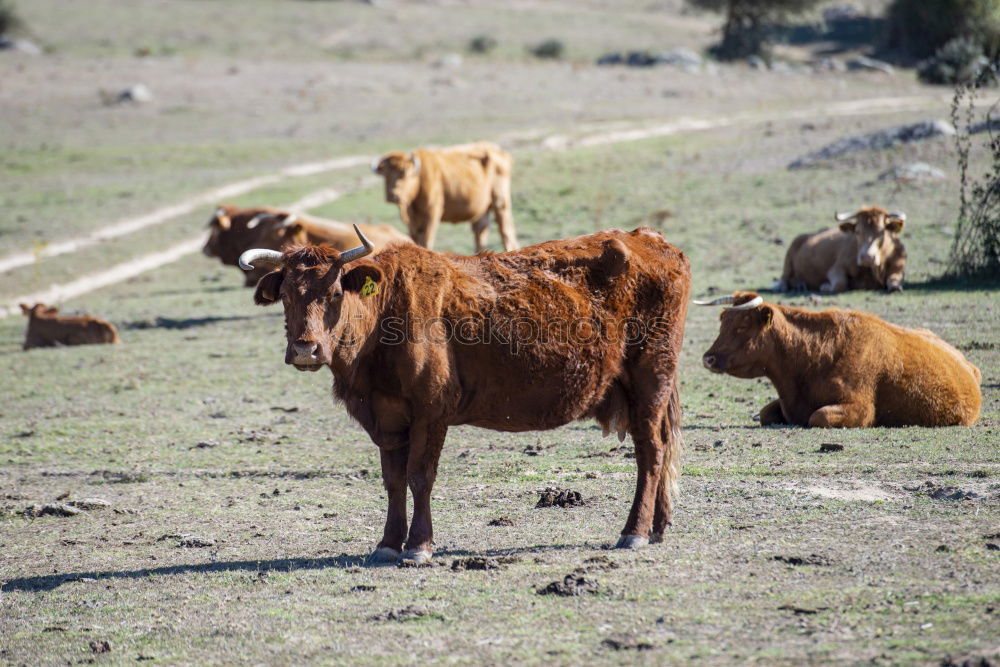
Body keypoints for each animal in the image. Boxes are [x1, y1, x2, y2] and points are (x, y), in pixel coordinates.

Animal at [241, 227, 692, 568]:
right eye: (286, 295)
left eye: (335, 293)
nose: (306, 349)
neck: (385, 313)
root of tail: (650, 239)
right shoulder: (386, 417)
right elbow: (393, 480)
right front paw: (388, 544)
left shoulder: (431, 412)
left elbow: (420, 476)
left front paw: (419, 546)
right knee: (659, 448)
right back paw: (657, 527)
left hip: (650, 380)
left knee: (651, 452)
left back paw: (634, 532)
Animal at [372, 141, 520, 253]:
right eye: (386, 175)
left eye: (404, 173)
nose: (393, 195)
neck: (420, 175)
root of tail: (500, 151)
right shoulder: (412, 222)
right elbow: (415, 239)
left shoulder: (432, 214)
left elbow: (426, 240)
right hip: (482, 210)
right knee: (481, 233)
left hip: (500, 202)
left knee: (505, 231)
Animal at [700, 292, 980, 428]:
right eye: (723, 322)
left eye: (742, 326)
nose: (708, 358)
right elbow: (766, 413)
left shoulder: (860, 408)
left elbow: (818, 417)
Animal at [776, 207, 912, 294]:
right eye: (857, 231)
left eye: (881, 232)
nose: (867, 257)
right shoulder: (835, 269)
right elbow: (840, 283)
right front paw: (825, 286)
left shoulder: (898, 268)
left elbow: (894, 281)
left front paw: (895, 287)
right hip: (789, 259)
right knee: (784, 280)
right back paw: (796, 286)